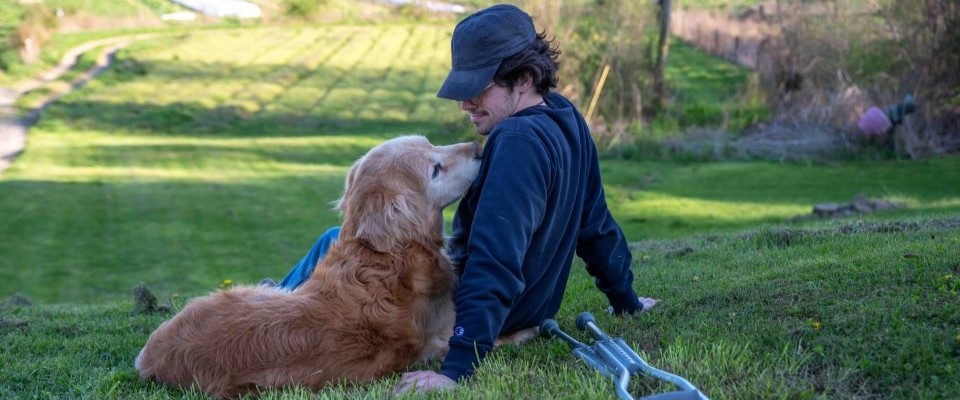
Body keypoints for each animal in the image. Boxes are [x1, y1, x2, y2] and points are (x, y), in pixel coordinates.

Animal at [135, 137, 480, 396]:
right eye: (435, 169)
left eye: (432, 143)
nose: (477, 146)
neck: (387, 252)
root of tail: (149, 360)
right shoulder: (442, 331)